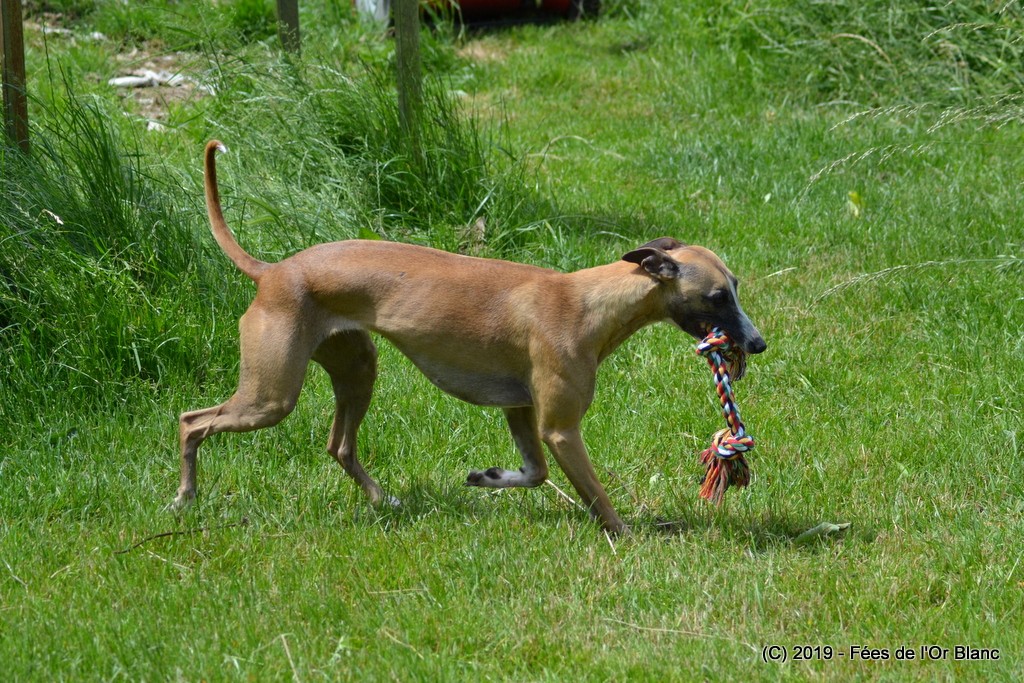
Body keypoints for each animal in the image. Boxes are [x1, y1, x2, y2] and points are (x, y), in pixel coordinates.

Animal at [176, 140, 765, 532]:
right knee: (191, 422)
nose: (758, 344)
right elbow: (596, 495)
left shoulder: (520, 411)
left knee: (339, 444)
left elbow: (533, 473)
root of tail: (273, 271)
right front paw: (627, 536)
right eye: (717, 296)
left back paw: (384, 501)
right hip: (271, 396)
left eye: (735, 286)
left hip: (357, 369)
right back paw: (184, 498)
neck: (586, 303)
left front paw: (488, 477)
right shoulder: (560, 427)